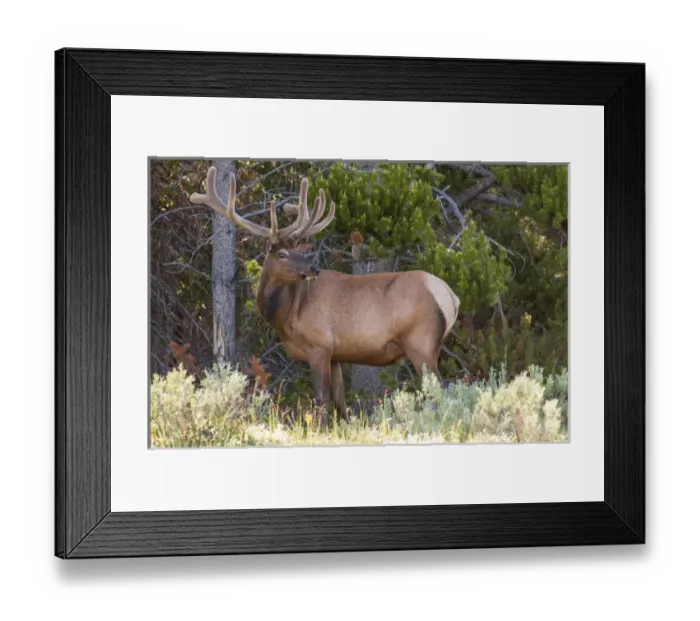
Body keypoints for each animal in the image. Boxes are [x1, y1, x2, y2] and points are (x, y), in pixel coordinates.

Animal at [190, 166, 460, 425]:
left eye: (295, 251)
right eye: (282, 254)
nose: (313, 268)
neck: (288, 315)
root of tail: (451, 296)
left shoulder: (319, 345)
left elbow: (320, 400)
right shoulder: (336, 354)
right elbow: (340, 402)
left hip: (421, 344)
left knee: (442, 391)